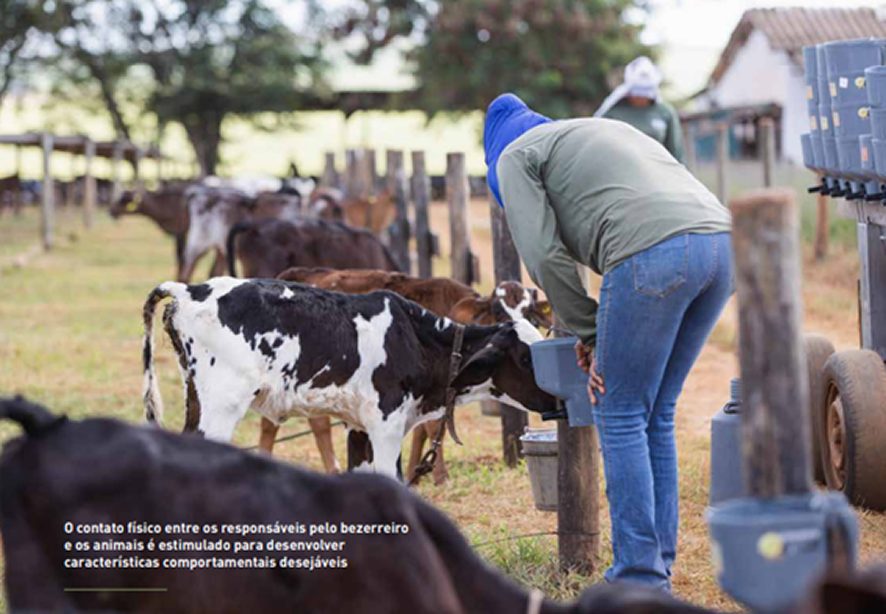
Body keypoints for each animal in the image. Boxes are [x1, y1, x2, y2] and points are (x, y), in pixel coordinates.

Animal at [140, 278, 556, 476]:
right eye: (525, 357)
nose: (559, 397)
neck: (415, 337)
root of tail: (190, 289)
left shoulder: (358, 428)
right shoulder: (386, 425)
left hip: (197, 399)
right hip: (222, 406)